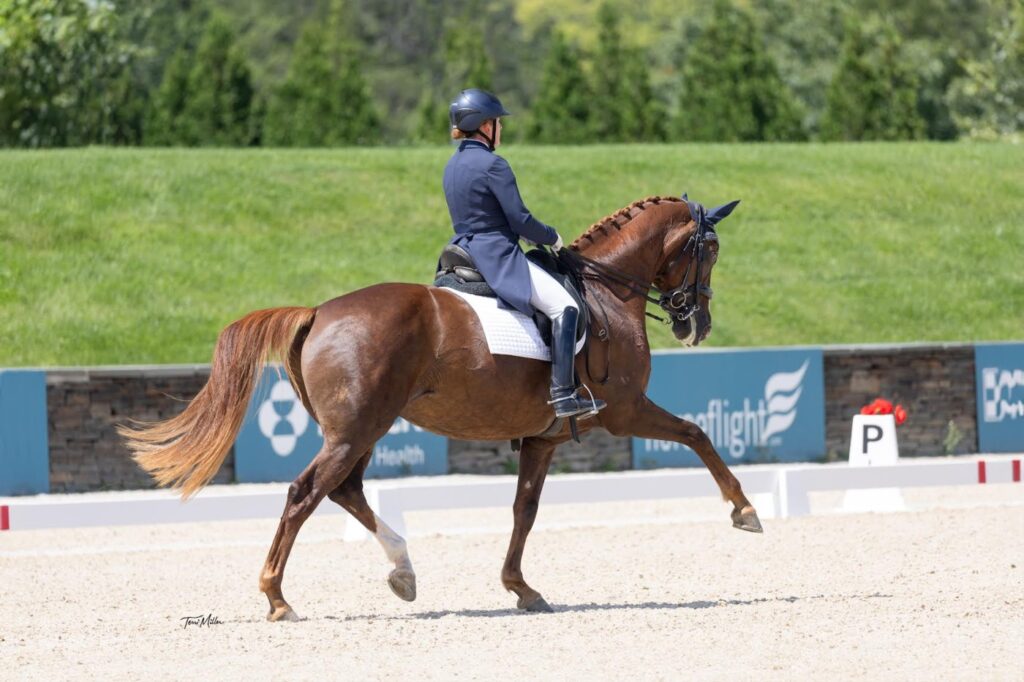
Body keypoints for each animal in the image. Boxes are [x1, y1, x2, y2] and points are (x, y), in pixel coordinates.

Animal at [117, 193, 761, 618]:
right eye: (710, 250)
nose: (697, 325)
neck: (605, 292)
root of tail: (319, 311)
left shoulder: (544, 439)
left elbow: (524, 511)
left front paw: (521, 588)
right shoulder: (624, 410)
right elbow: (697, 433)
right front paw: (744, 511)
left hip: (364, 429)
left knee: (345, 491)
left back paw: (402, 571)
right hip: (356, 429)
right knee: (306, 493)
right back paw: (278, 597)